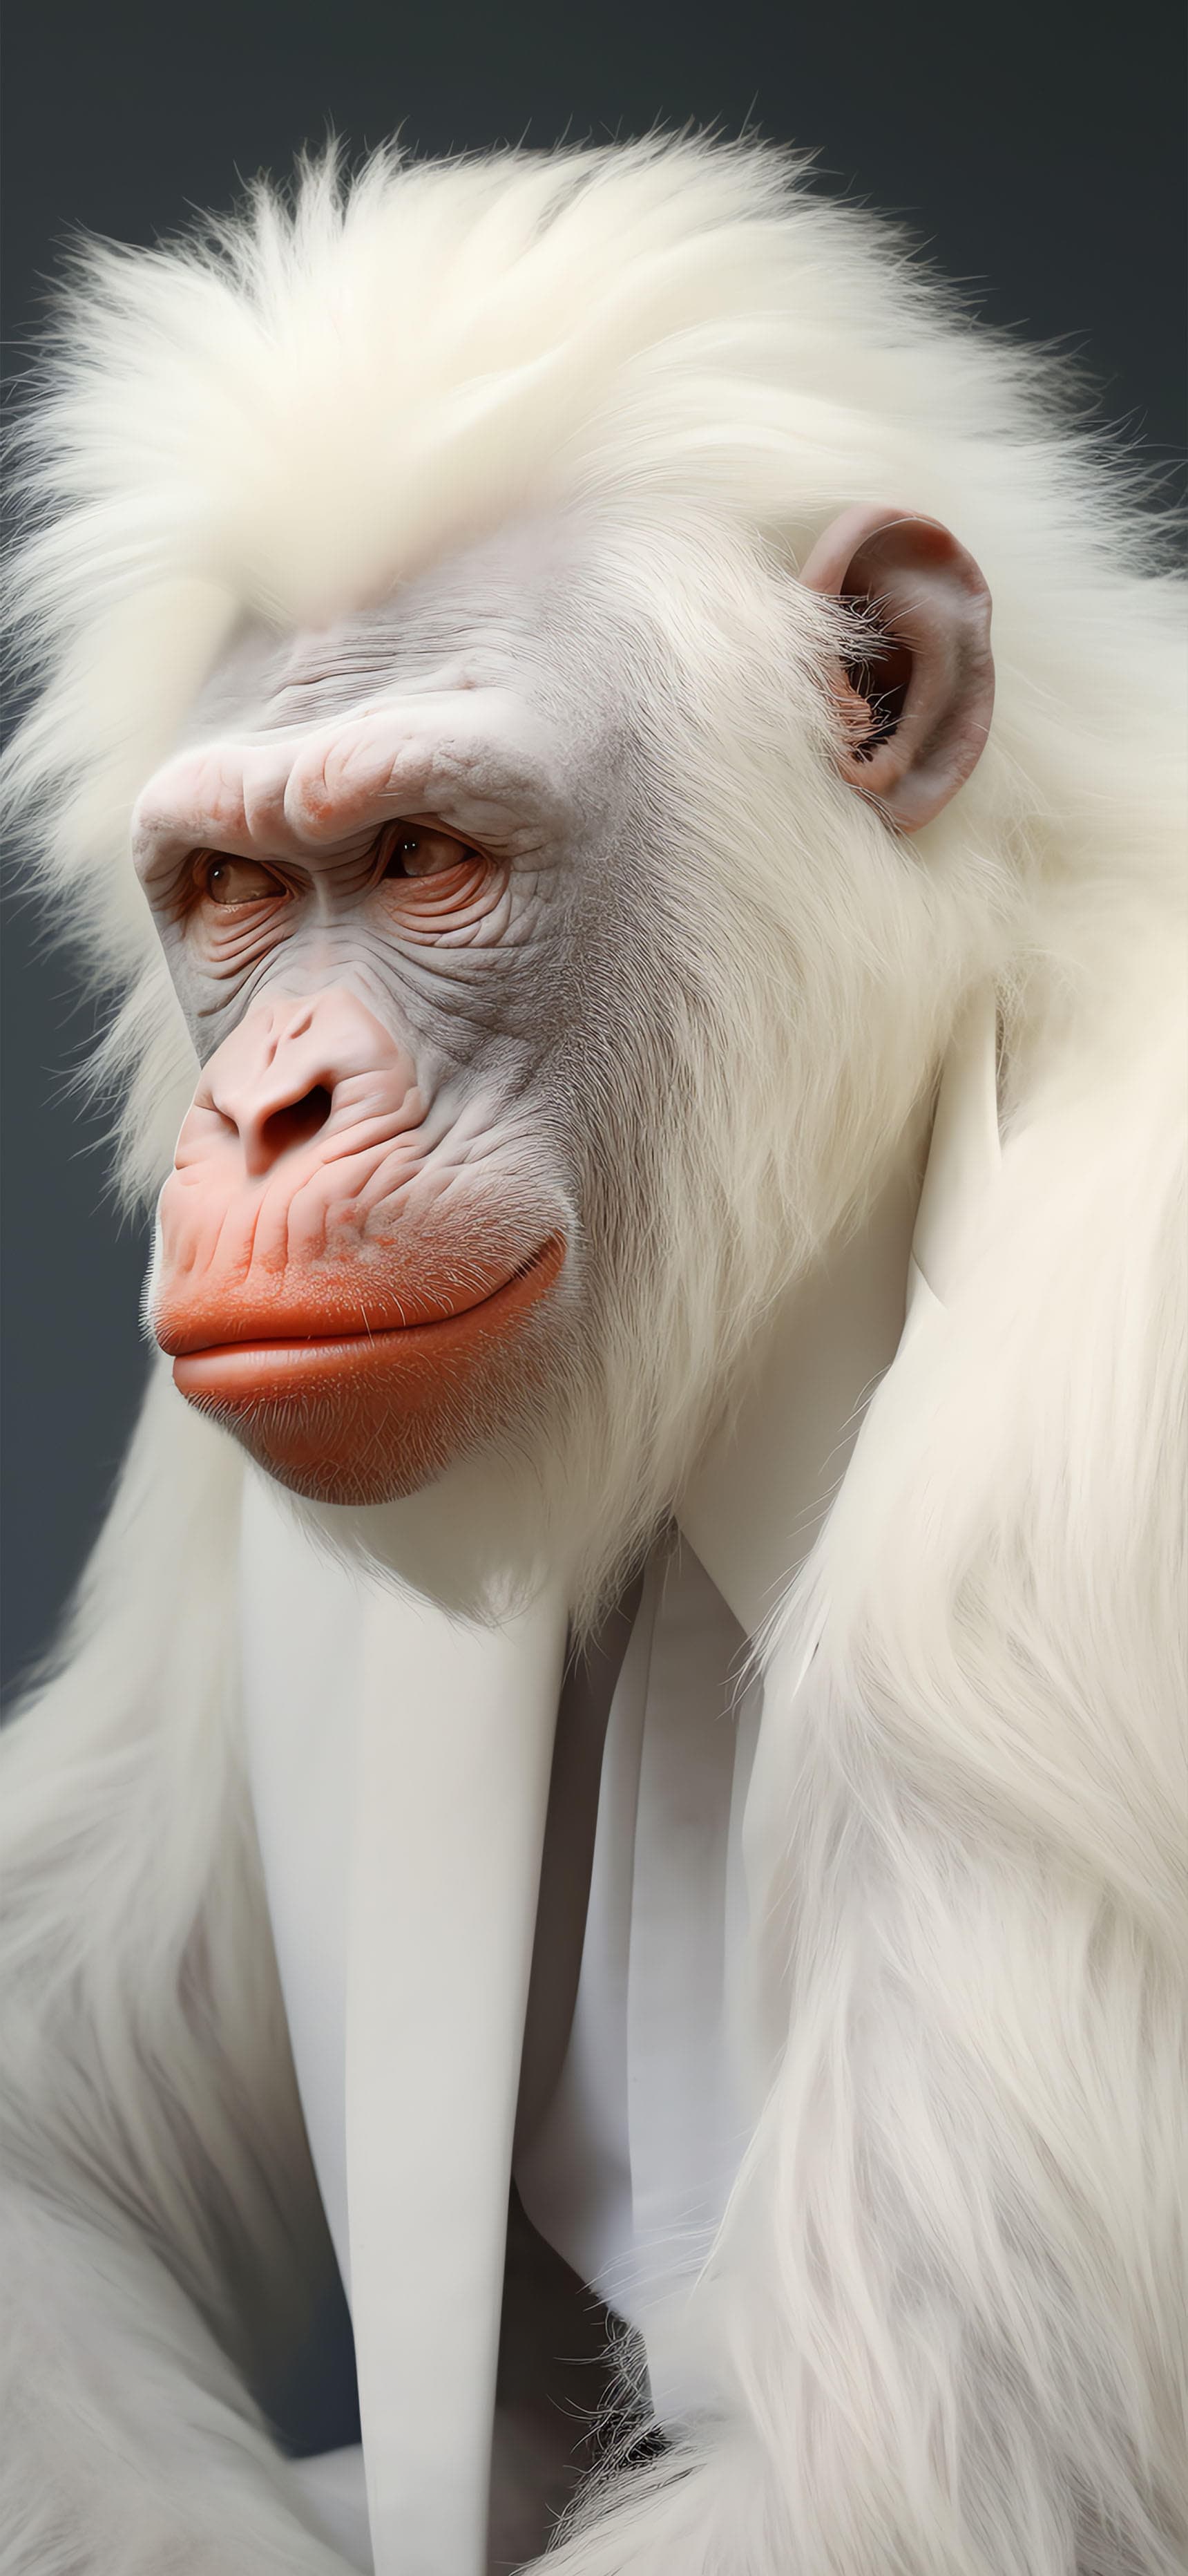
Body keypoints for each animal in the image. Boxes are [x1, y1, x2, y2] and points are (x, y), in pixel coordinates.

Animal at [1, 136, 1184, 2576]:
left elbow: (892, 2477)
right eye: (235, 890)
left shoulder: (1100, 1411)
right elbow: (42, 2152)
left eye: (422, 852)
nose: (264, 1109)